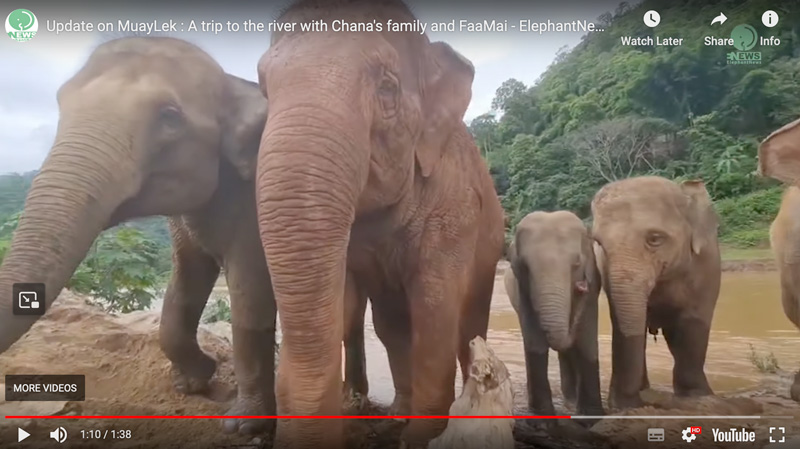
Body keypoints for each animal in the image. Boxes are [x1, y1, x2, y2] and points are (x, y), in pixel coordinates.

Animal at [0, 37, 280, 434]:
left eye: (170, 116)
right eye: (60, 100)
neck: (235, 83)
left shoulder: (258, 201)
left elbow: (252, 289)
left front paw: (244, 428)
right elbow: (186, 277)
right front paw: (192, 383)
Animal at [255, 1, 506, 446]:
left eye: (387, 88)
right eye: (264, 88)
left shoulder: (454, 206)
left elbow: (435, 309)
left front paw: (422, 440)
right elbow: (344, 302)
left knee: (466, 328)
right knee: (391, 324)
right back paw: (395, 415)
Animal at [504, 210, 604, 420]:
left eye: (577, 263)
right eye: (525, 266)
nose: (582, 286)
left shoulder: (593, 288)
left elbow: (587, 341)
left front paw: (592, 417)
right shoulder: (522, 289)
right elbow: (535, 341)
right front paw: (543, 418)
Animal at [592, 175, 720, 410]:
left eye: (654, 239)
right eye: (599, 244)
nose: (620, 404)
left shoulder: (707, 263)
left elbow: (693, 321)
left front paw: (698, 396)